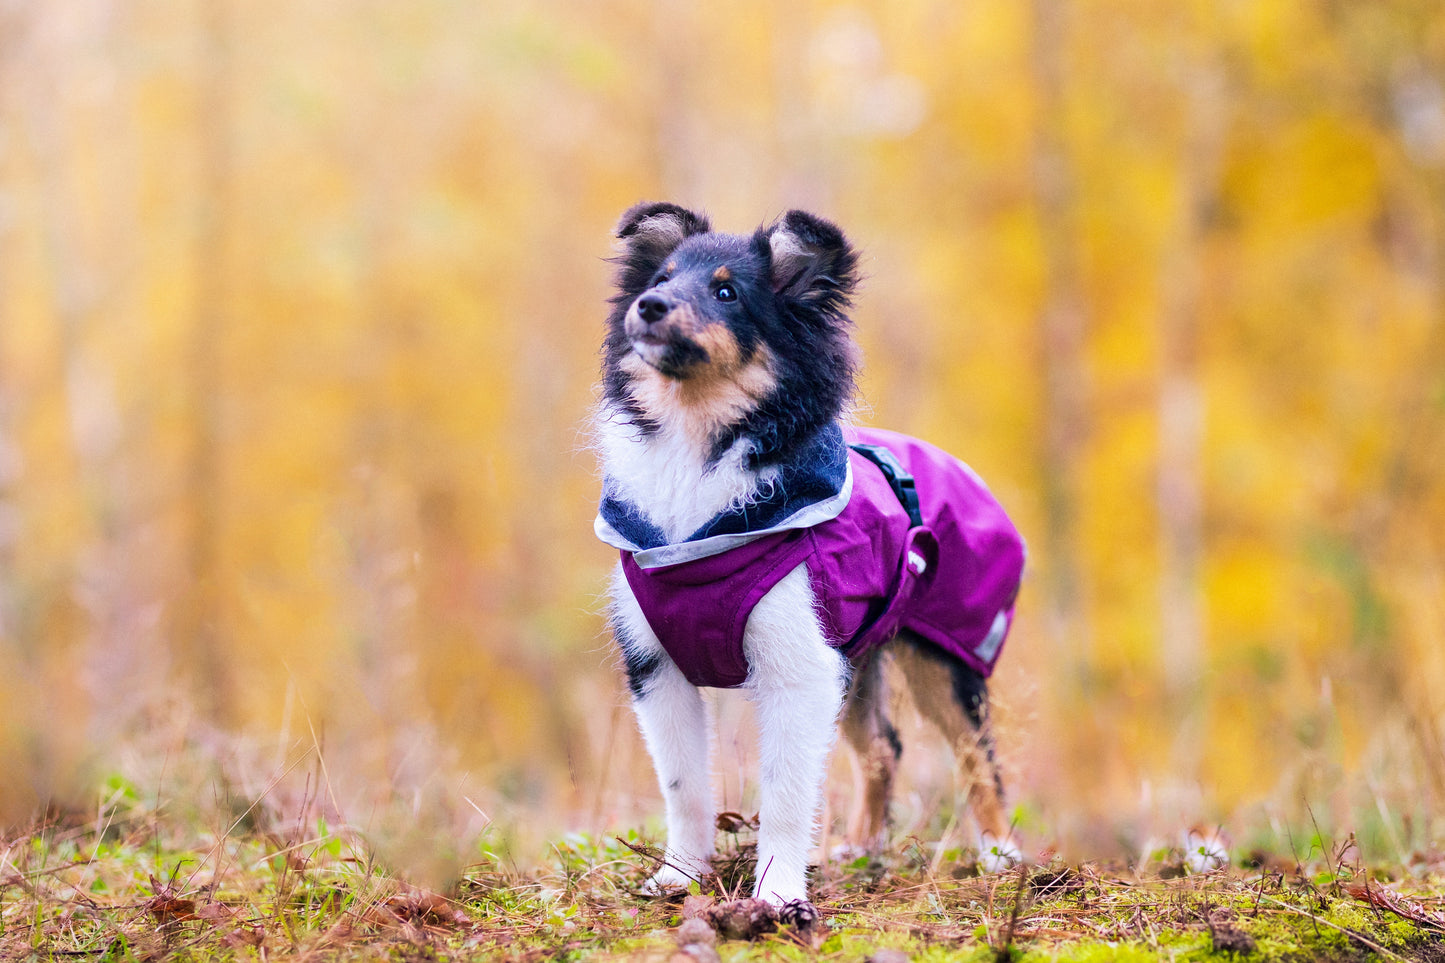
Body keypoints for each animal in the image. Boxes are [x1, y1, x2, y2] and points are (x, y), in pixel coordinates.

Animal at [592, 198, 1023, 913]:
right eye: (661, 277)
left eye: (727, 293)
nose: (649, 305)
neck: (697, 441)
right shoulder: (657, 665)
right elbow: (685, 786)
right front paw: (678, 877)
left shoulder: (799, 667)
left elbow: (787, 790)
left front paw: (774, 895)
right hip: (859, 651)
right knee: (884, 746)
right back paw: (863, 850)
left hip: (946, 651)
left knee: (975, 754)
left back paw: (1000, 856)